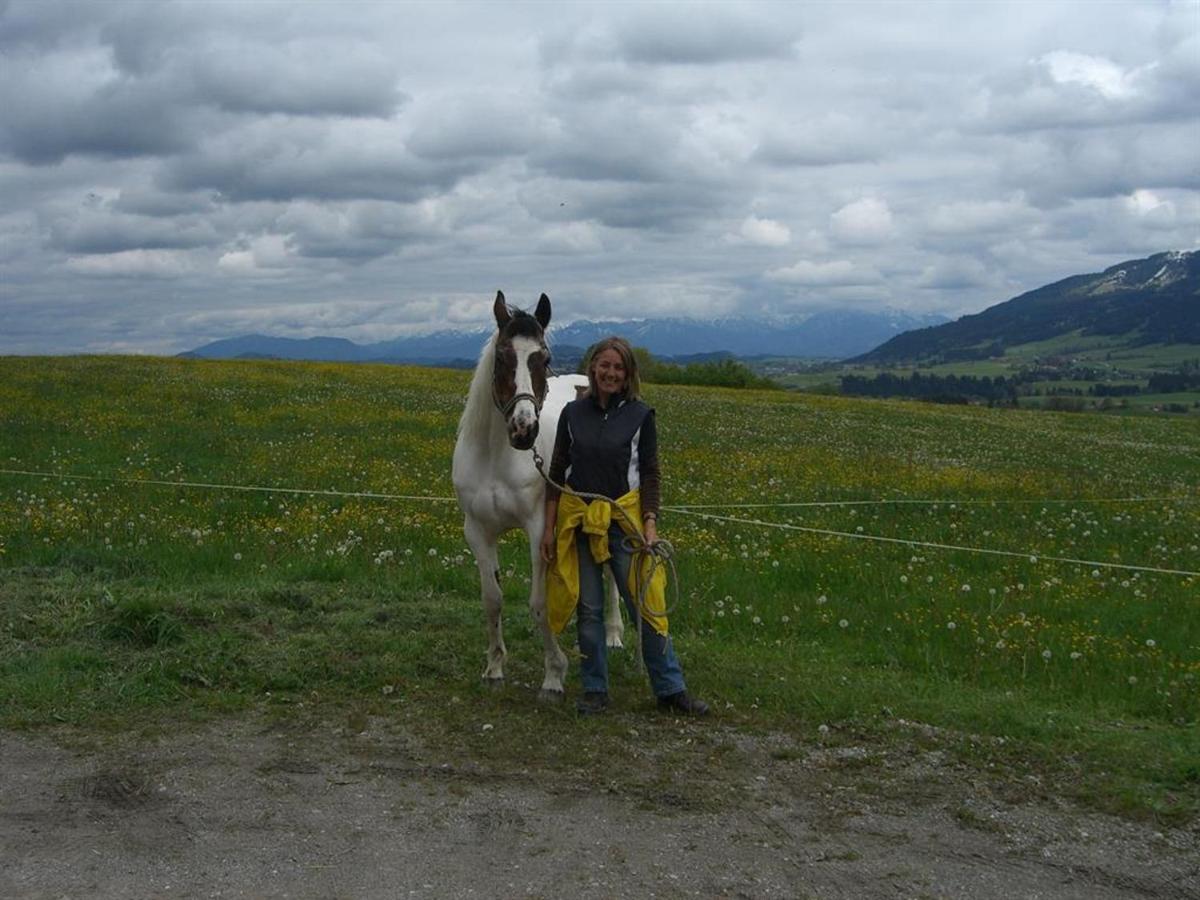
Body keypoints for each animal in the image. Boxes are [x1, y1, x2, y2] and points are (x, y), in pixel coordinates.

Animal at [451, 292, 619, 700]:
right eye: (502, 358)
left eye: (543, 358)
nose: (523, 429)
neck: (496, 456)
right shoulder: (477, 532)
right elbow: (492, 599)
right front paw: (494, 666)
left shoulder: (538, 528)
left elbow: (539, 603)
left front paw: (554, 674)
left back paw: (613, 634)